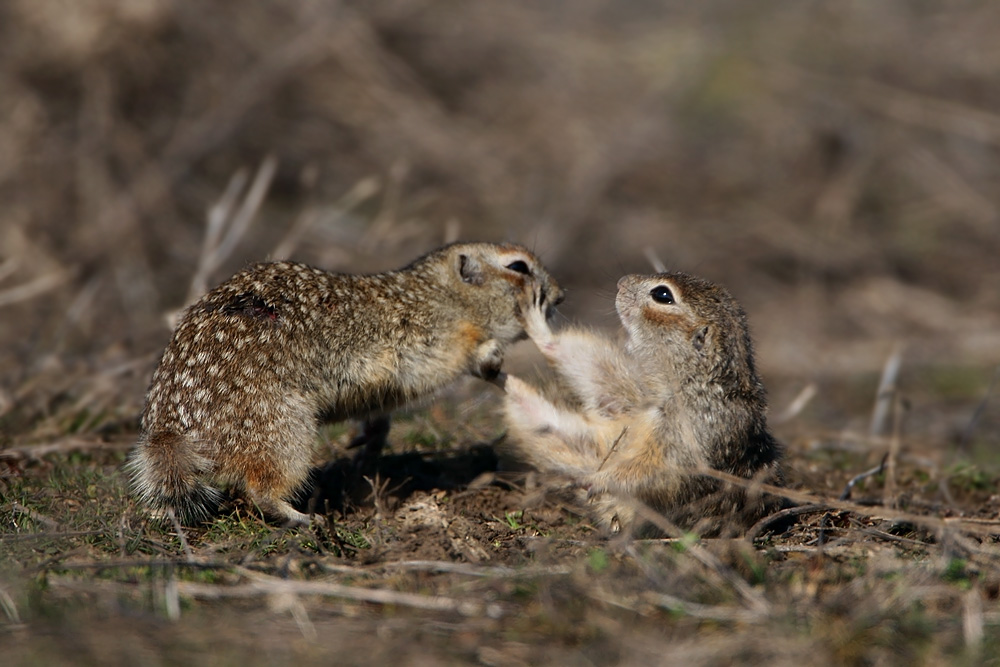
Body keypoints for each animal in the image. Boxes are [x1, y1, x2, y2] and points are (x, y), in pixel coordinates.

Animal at [126, 241, 564, 528]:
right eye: (518, 267)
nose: (560, 296)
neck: (441, 297)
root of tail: (170, 429)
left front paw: (369, 440)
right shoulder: (430, 339)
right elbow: (450, 357)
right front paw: (491, 355)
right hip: (281, 429)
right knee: (260, 489)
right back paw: (305, 519)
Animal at [496, 272, 784, 536]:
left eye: (663, 295)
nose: (621, 282)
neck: (691, 381)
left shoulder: (692, 434)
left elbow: (650, 470)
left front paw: (599, 479)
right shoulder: (633, 394)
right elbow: (594, 371)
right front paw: (540, 330)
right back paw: (507, 382)